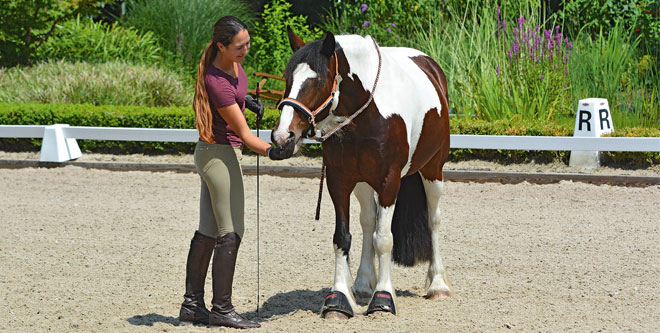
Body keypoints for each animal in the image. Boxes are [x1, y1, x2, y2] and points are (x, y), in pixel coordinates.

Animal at [270, 27, 452, 318]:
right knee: (368, 222)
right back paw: (364, 284)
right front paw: (339, 298)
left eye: (318, 81)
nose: (282, 137)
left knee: (433, 219)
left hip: (433, 170)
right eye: (288, 79)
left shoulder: (389, 182)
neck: (367, 115)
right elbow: (343, 238)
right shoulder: (339, 181)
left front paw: (383, 298)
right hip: (363, 183)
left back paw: (437, 285)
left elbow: (384, 239)